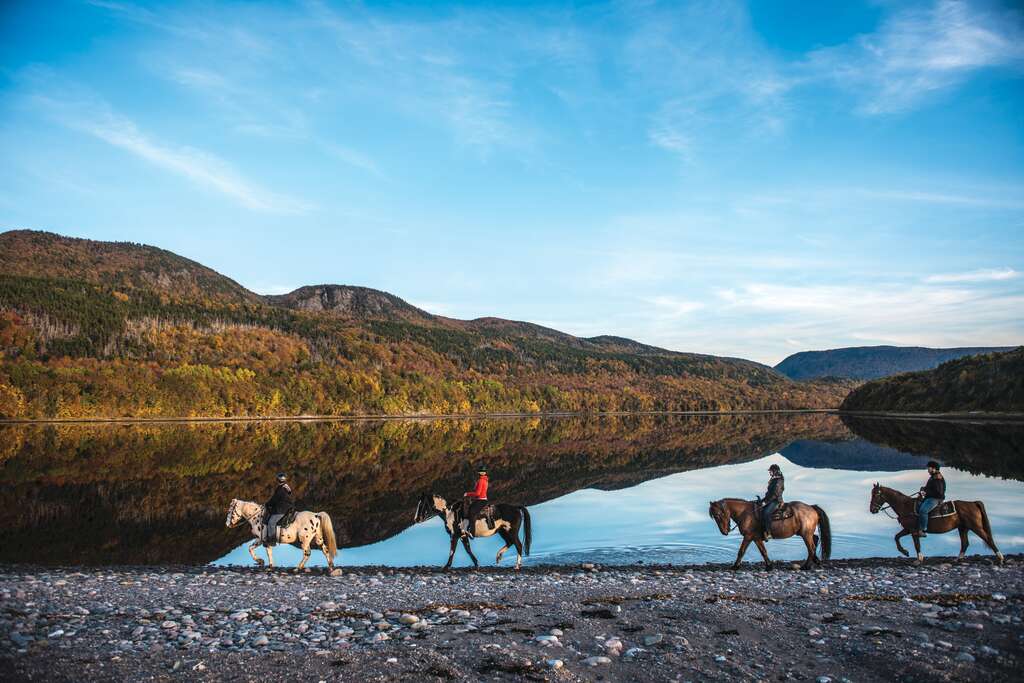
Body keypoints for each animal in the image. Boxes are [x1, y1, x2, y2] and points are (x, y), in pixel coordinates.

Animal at [868, 483, 1003, 565]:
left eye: (876, 494)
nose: (872, 510)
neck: (905, 506)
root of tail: (973, 503)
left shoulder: (913, 530)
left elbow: (916, 544)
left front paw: (918, 559)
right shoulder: (908, 529)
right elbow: (896, 537)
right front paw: (905, 552)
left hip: (975, 527)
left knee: (988, 539)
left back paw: (1000, 558)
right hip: (963, 528)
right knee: (965, 543)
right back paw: (958, 559)